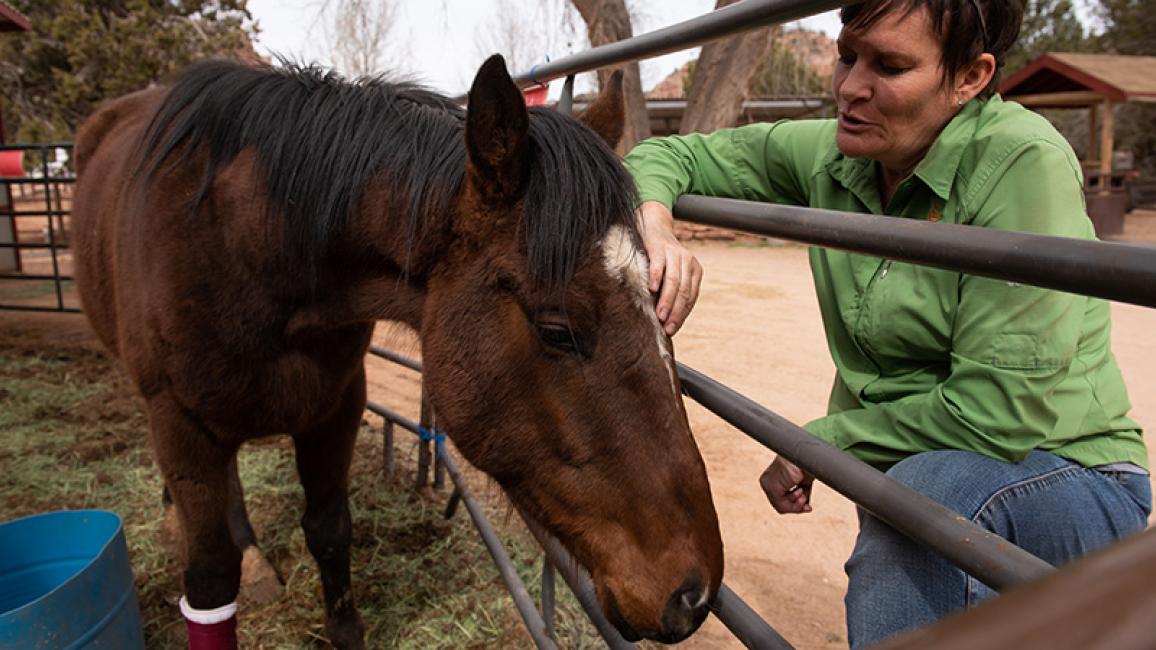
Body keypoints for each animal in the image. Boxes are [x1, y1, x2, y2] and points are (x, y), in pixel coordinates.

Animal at [71, 55, 723, 648]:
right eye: (557, 330)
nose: (693, 595)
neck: (247, 245)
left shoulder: (335, 406)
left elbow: (329, 530)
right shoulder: (182, 422)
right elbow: (209, 583)